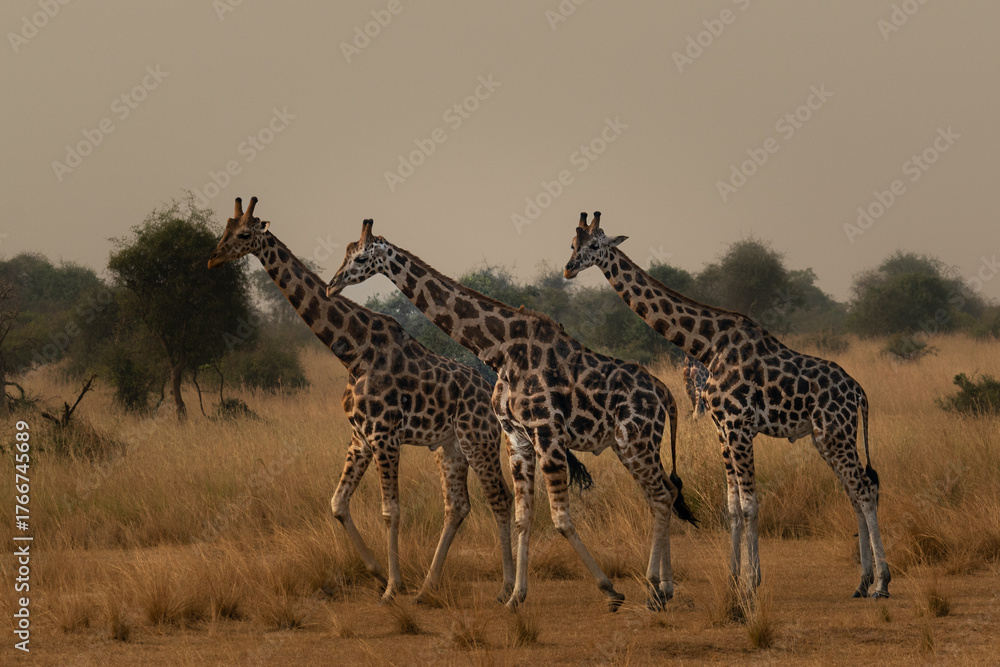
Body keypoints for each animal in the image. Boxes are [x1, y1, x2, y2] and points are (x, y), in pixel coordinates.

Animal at [207, 197, 514, 604]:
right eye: (224, 229)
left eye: (244, 234)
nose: (213, 258)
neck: (353, 353)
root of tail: (490, 394)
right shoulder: (360, 437)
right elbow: (338, 503)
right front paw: (377, 572)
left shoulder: (385, 436)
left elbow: (391, 511)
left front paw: (392, 587)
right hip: (449, 447)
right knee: (458, 506)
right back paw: (428, 586)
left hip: (478, 439)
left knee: (500, 499)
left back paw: (505, 588)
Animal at [326, 219, 698, 612]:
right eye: (346, 253)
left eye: (361, 257)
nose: (332, 284)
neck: (501, 351)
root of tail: (665, 393)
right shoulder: (516, 437)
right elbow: (523, 516)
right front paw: (516, 595)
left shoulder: (547, 433)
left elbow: (560, 518)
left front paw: (609, 589)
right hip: (630, 445)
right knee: (663, 493)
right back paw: (662, 588)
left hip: (637, 441)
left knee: (662, 495)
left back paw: (655, 589)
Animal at [563, 212, 890, 599]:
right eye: (572, 243)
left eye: (596, 244)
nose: (568, 268)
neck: (708, 345)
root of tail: (858, 392)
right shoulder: (722, 427)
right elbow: (732, 505)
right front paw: (734, 578)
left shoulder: (739, 425)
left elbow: (749, 504)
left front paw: (751, 583)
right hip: (826, 437)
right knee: (854, 491)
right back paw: (862, 581)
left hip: (835, 433)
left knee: (865, 489)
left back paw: (882, 583)